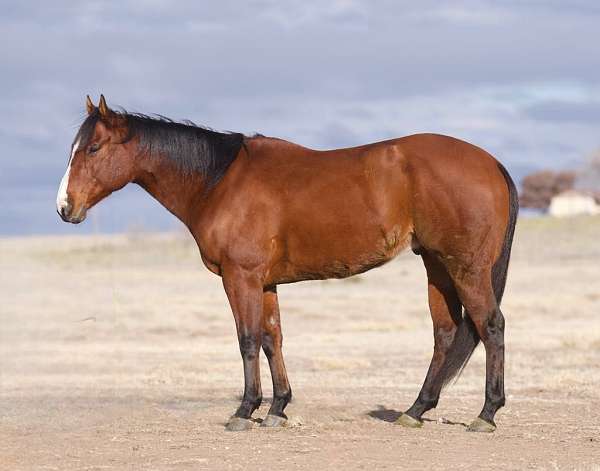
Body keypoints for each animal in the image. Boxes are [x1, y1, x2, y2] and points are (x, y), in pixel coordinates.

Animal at [56, 96, 516, 436]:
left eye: (93, 148)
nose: (65, 208)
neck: (219, 182)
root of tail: (490, 162)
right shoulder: (264, 283)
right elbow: (271, 339)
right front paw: (278, 407)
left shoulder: (239, 278)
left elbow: (246, 340)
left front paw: (245, 410)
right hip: (437, 267)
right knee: (446, 333)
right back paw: (417, 409)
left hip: (466, 268)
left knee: (490, 325)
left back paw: (486, 413)